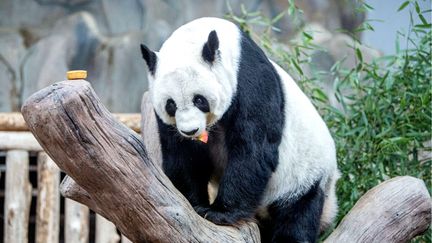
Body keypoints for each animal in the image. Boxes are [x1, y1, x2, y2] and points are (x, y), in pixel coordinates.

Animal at [140, 17, 340, 243]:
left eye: (199, 99)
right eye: (171, 105)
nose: (191, 131)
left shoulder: (251, 83)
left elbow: (251, 150)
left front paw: (220, 213)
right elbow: (183, 155)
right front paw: (193, 203)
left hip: (306, 174)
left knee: (298, 211)